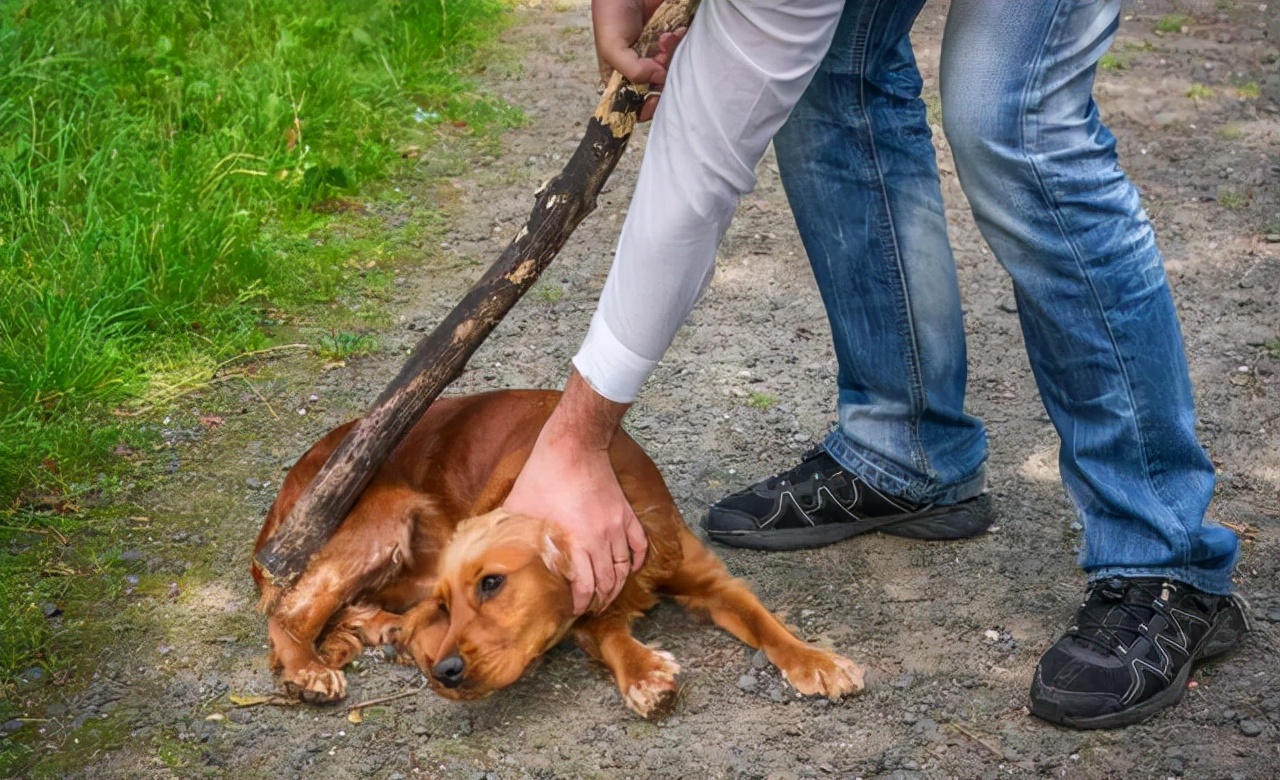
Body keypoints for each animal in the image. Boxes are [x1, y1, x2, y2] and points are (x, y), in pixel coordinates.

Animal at [254, 389, 865, 717]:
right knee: (290, 608)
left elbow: (766, 622)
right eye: (453, 603)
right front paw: (645, 673)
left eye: (492, 583)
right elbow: (612, 637)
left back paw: (376, 635)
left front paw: (818, 660)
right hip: (385, 517)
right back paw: (310, 668)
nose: (445, 673)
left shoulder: (710, 580)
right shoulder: (586, 612)